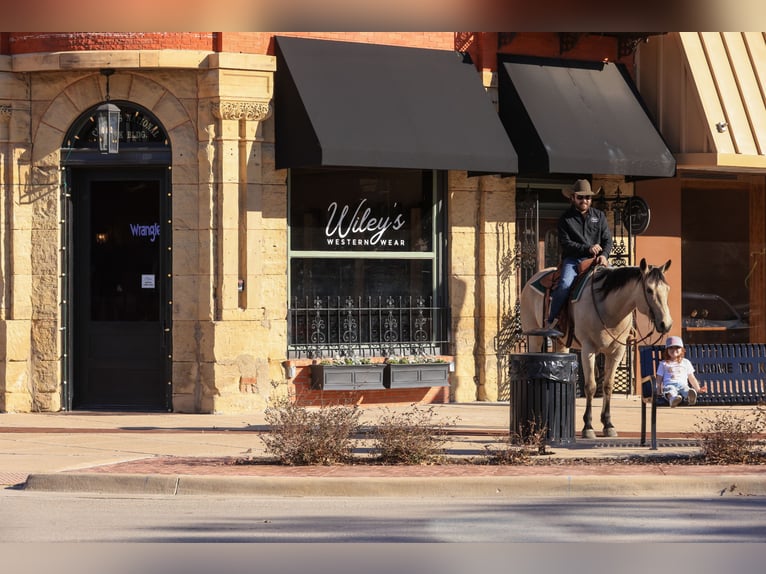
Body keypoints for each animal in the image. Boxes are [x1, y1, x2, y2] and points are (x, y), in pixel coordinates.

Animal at [520, 260, 672, 440]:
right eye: (649, 289)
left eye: (667, 289)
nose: (666, 324)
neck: (608, 308)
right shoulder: (588, 350)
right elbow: (591, 386)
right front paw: (588, 426)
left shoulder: (617, 352)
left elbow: (608, 386)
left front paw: (608, 424)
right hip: (534, 336)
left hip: (561, 343)